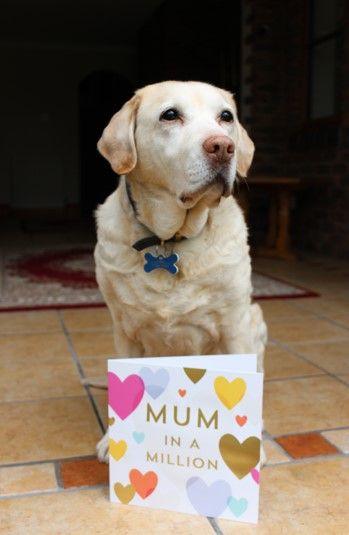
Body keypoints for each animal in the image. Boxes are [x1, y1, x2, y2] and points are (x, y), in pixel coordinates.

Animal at [94, 81, 266, 462]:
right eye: (170, 115)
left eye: (226, 117)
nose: (224, 147)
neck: (168, 241)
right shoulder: (123, 330)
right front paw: (113, 442)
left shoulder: (235, 327)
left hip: (256, 321)